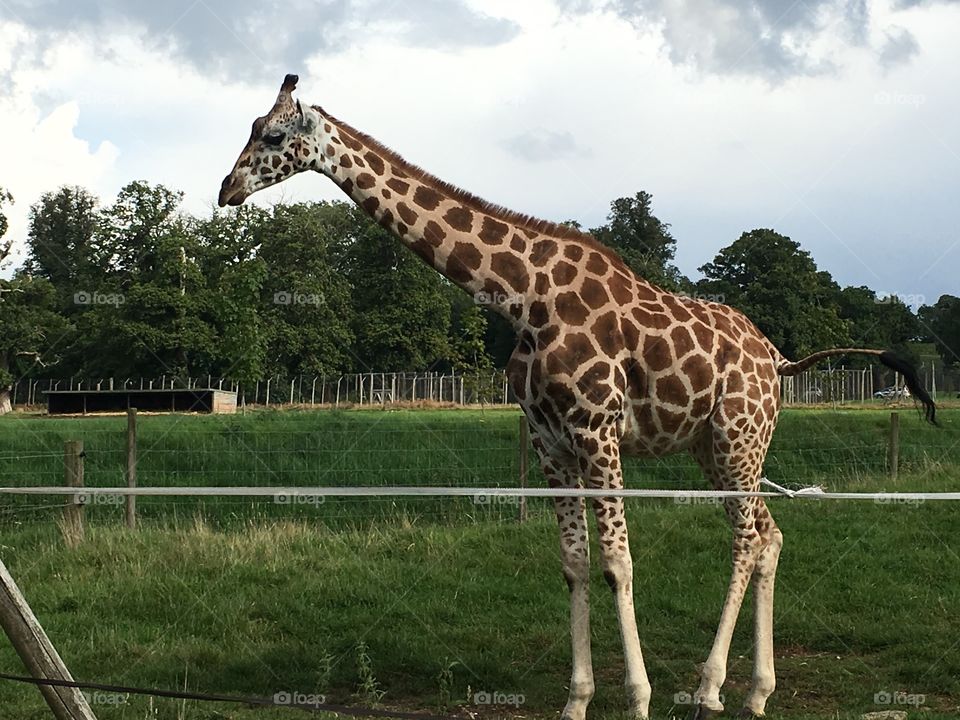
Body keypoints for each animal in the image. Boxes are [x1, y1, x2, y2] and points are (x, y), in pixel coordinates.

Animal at [218, 75, 937, 719]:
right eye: (250, 127)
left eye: (273, 134)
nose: (226, 189)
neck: (523, 297)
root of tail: (779, 359)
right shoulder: (550, 442)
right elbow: (573, 563)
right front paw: (577, 700)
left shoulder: (598, 430)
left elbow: (618, 562)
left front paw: (639, 698)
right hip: (714, 445)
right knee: (770, 532)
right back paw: (756, 692)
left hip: (740, 437)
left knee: (745, 538)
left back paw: (709, 690)